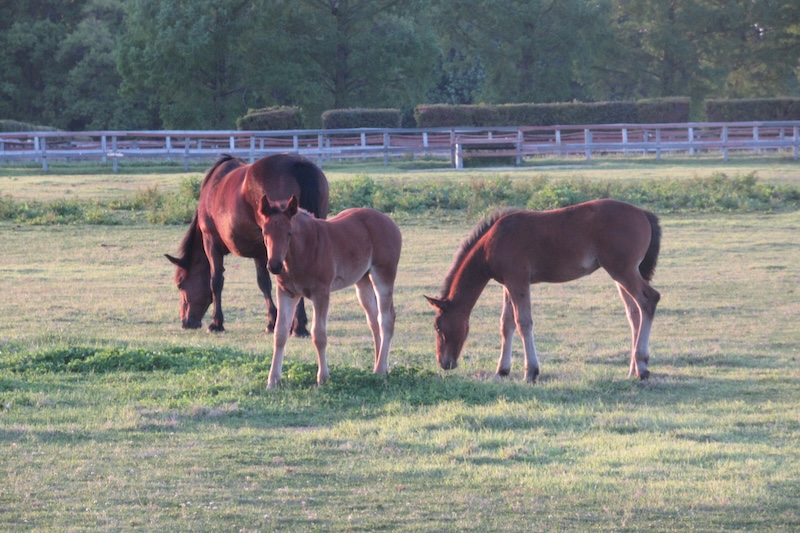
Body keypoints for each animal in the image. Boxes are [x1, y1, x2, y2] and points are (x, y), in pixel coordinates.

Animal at [166, 152, 328, 332]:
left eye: (180, 284)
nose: (186, 322)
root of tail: (297, 164)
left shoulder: (211, 243)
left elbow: (216, 281)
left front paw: (216, 323)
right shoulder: (260, 250)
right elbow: (263, 282)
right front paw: (272, 321)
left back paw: (298, 326)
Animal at [260, 193, 404, 388]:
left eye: (289, 233)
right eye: (265, 232)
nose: (274, 266)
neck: (304, 249)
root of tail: (391, 223)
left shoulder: (321, 293)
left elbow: (319, 335)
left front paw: (323, 377)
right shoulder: (287, 293)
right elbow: (280, 333)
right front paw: (273, 380)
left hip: (383, 275)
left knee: (386, 319)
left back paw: (380, 370)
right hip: (363, 281)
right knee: (373, 321)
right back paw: (378, 365)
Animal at [428, 197, 660, 380]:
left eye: (438, 327)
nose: (443, 363)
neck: (491, 243)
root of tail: (643, 213)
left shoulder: (518, 280)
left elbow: (523, 322)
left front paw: (531, 372)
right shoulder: (508, 284)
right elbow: (506, 324)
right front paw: (502, 370)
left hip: (622, 270)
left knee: (649, 300)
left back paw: (642, 367)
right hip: (620, 275)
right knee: (634, 313)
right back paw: (632, 370)